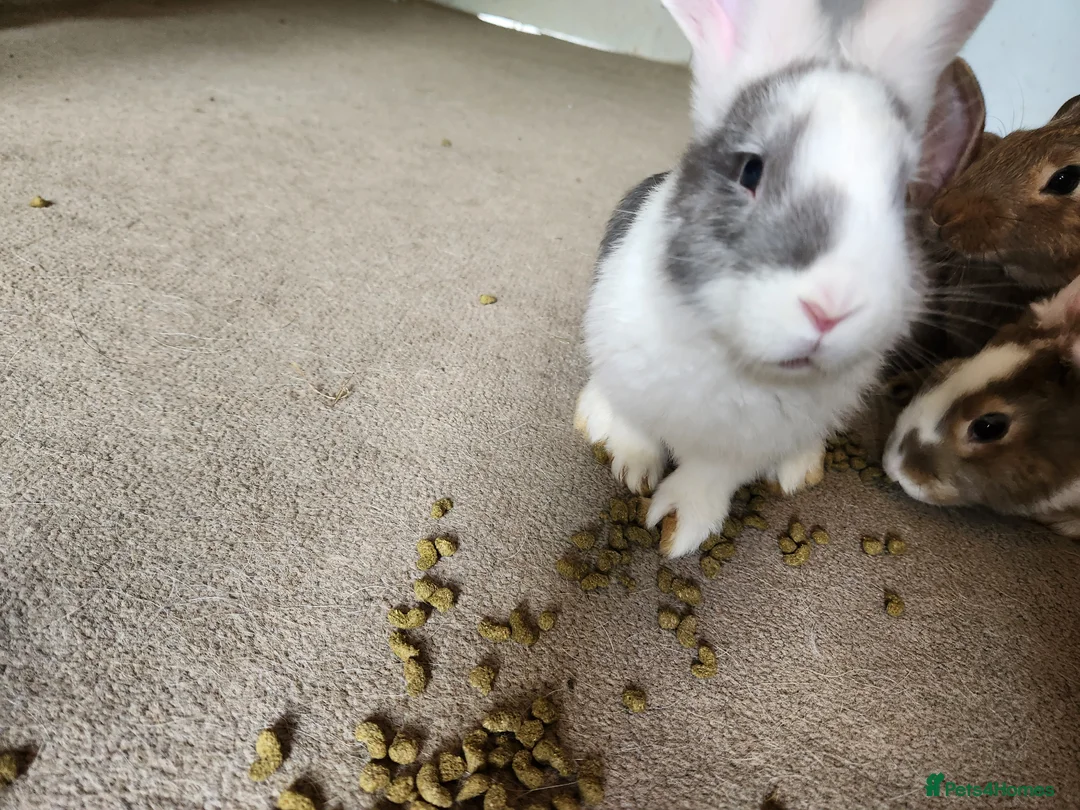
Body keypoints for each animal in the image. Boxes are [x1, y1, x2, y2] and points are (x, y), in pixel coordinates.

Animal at [574, 0, 996, 558]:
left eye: (905, 197)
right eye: (750, 170)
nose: (831, 307)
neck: (741, 362)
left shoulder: (740, 450)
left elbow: (708, 479)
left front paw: (678, 529)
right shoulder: (629, 376)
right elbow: (636, 428)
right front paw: (632, 469)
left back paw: (799, 470)